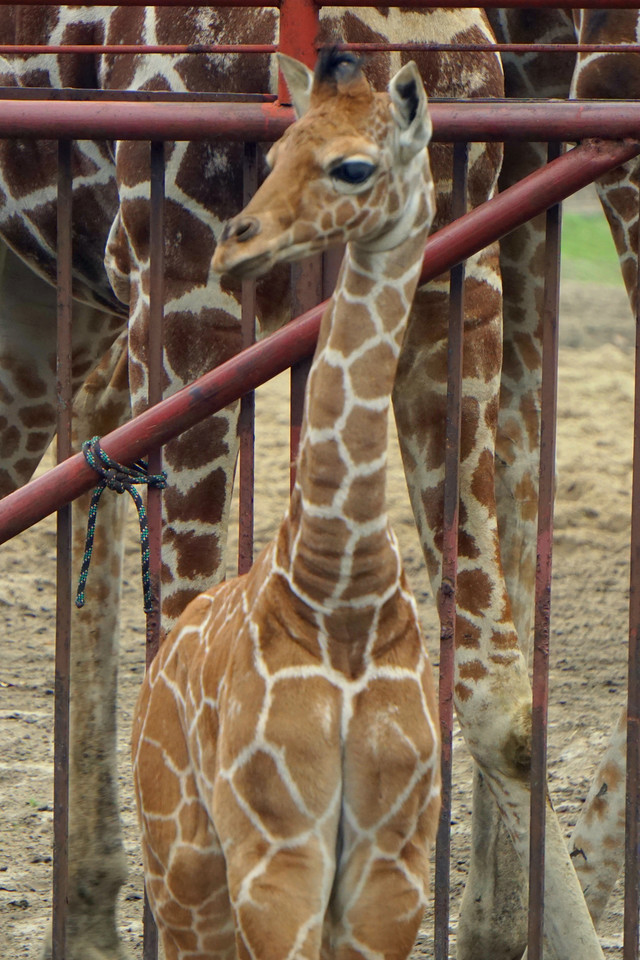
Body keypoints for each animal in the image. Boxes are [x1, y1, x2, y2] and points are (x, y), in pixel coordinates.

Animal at [131, 50, 440, 960]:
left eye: (353, 168)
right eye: (270, 156)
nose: (237, 246)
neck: (341, 590)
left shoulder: (391, 868)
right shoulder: (277, 856)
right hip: (182, 860)